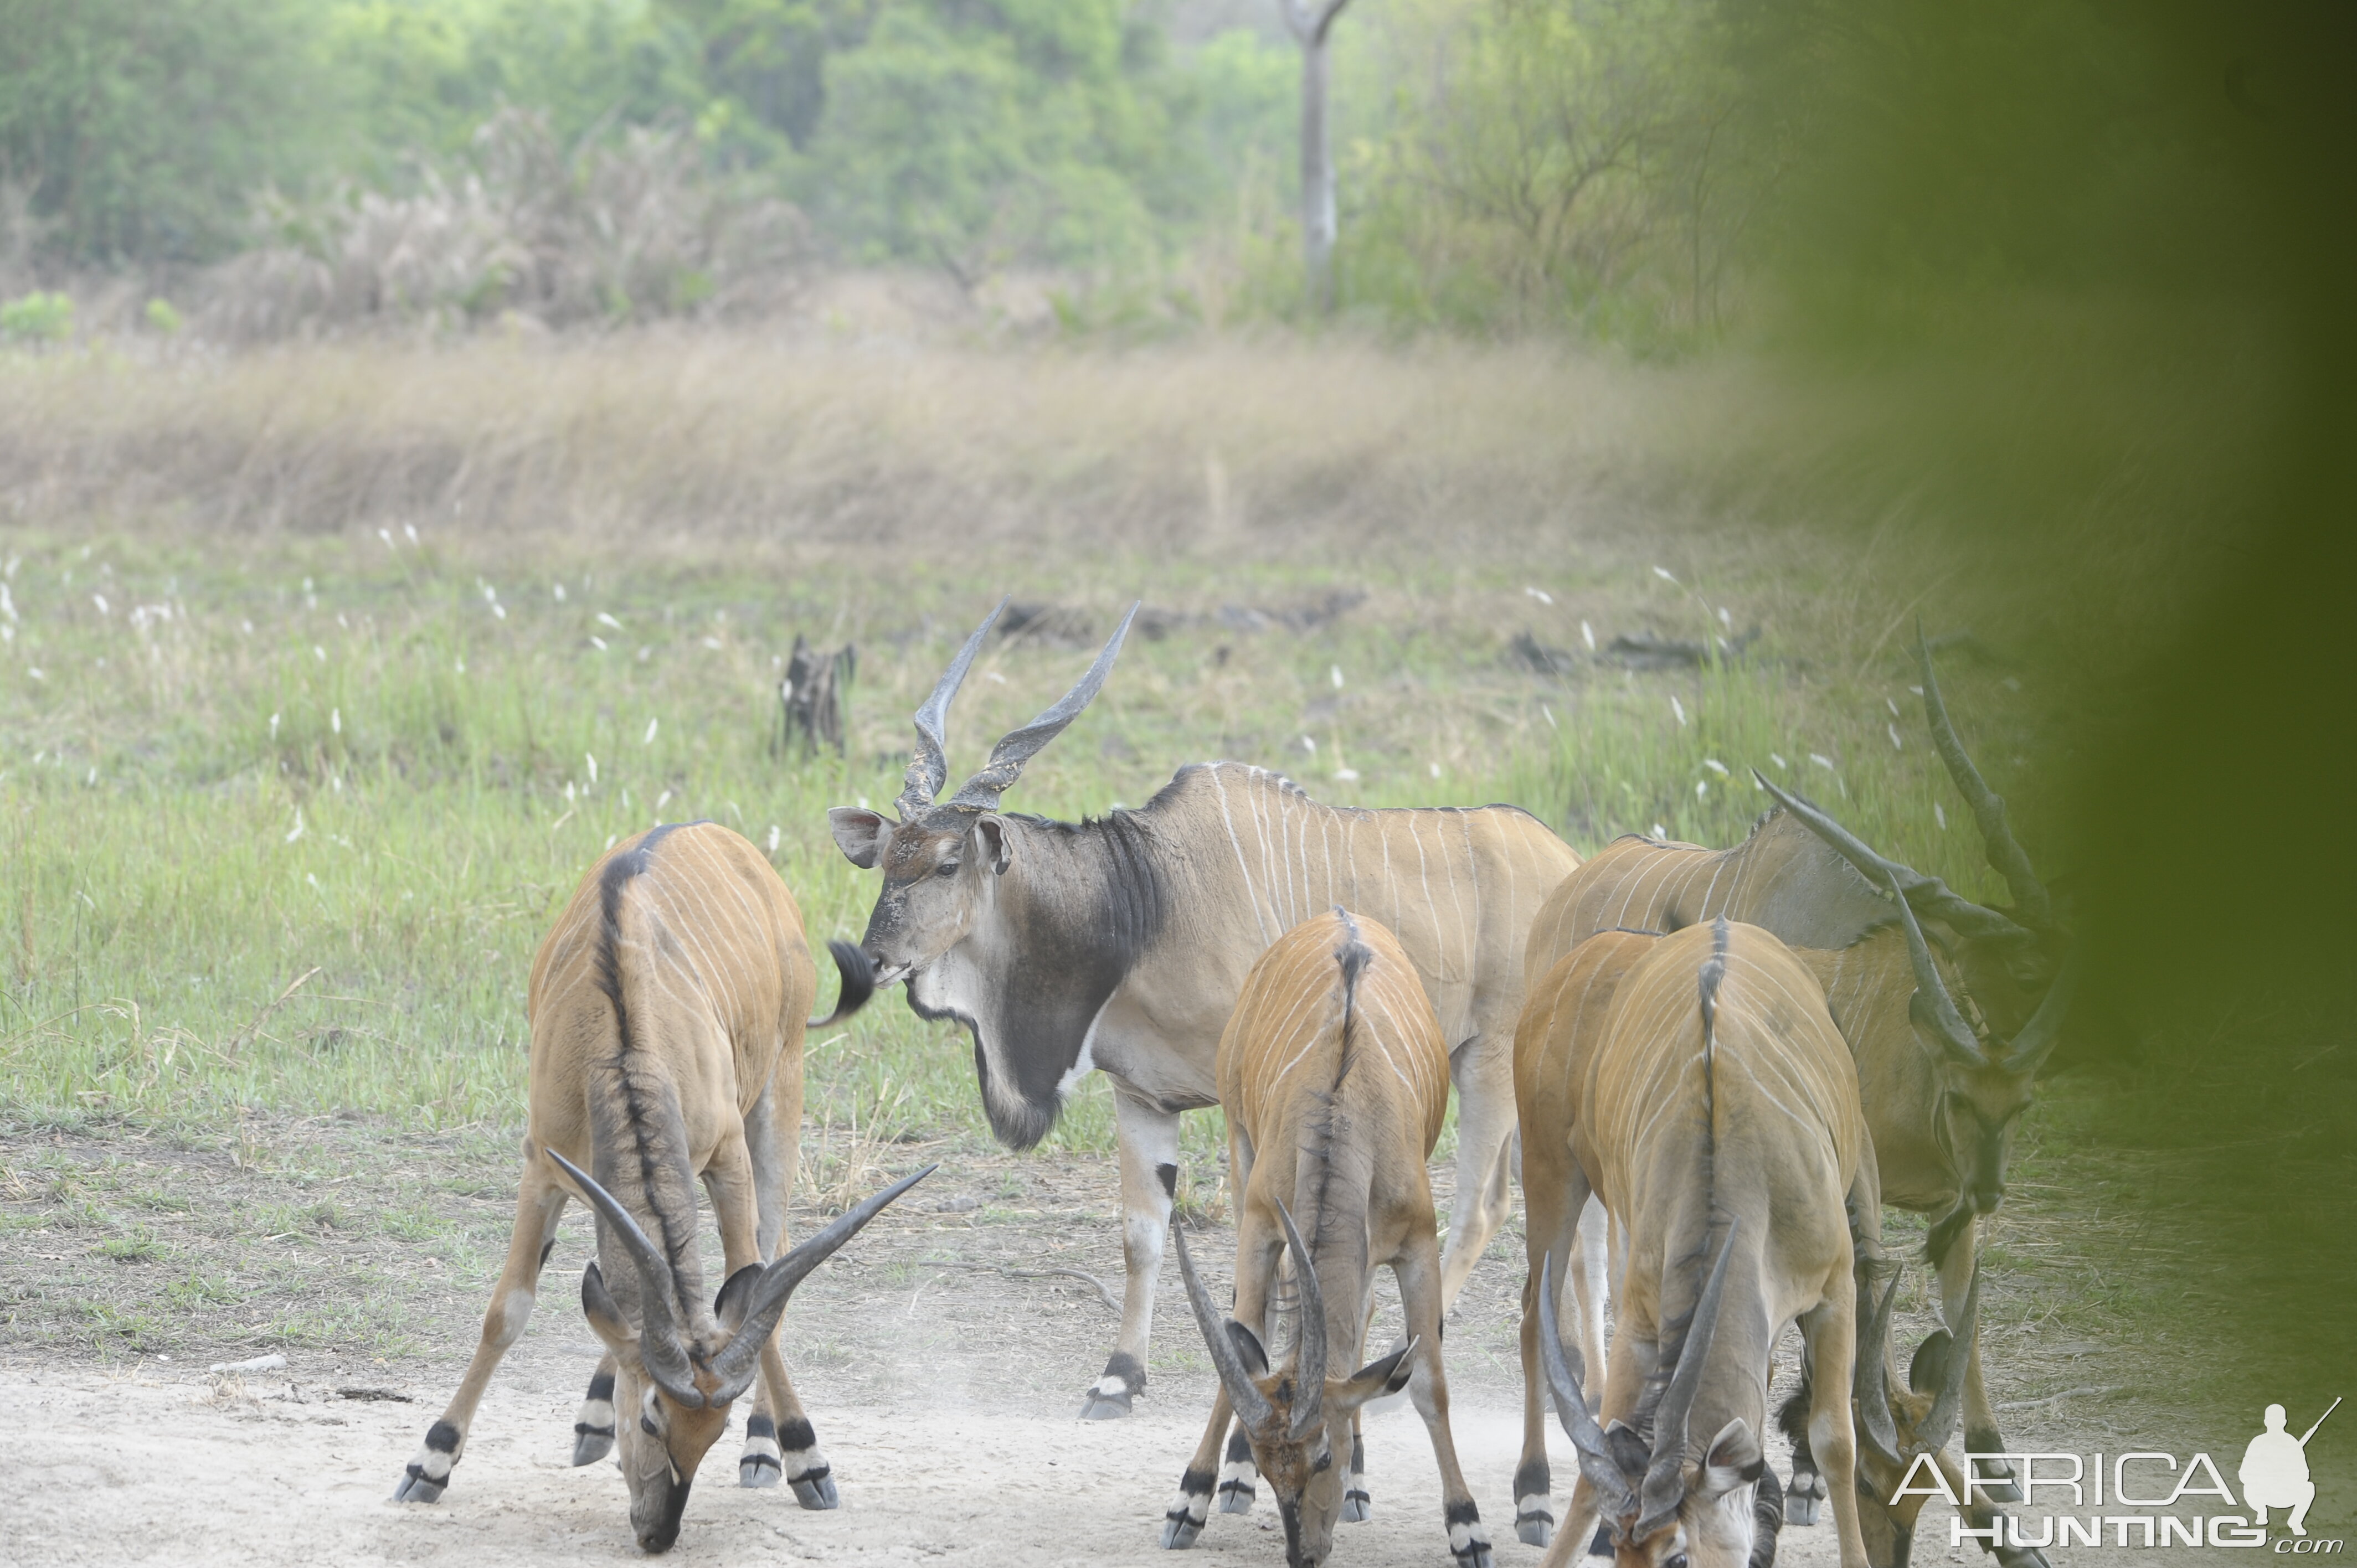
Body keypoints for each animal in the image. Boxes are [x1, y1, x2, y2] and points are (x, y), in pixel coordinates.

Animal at [830, 601, 1584, 1415]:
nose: (873, 960)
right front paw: (1117, 1380)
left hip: (1491, 1062)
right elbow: (1142, 1234)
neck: (1143, 899)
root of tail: (1576, 863)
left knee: (1481, 1207)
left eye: (945, 864)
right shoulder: (1140, 1098)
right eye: (885, 862)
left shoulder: (1244, 1096)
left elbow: (1268, 1232)